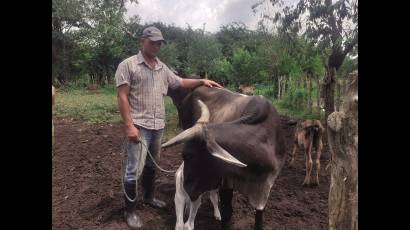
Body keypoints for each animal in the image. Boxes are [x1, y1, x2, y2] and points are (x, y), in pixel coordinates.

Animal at [163, 86, 286, 230]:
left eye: (188, 155)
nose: (186, 188)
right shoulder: (226, 181)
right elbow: (227, 212)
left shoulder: (266, 185)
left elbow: (259, 218)